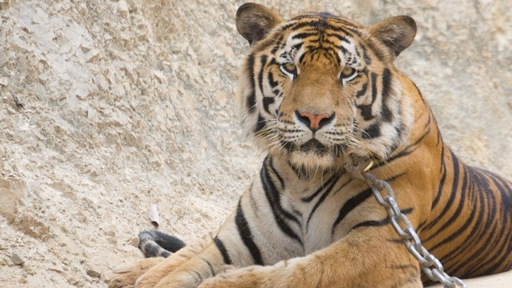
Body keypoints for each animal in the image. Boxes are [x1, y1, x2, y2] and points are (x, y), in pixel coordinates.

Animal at [109, 2, 512, 288]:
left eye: (347, 73)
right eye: (290, 68)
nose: (314, 118)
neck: (303, 175)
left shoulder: (379, 246)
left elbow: (297, 274)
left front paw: (223, 283)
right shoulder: (238, 240)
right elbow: (186, 268)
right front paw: (158, 278)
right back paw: (132, 273)